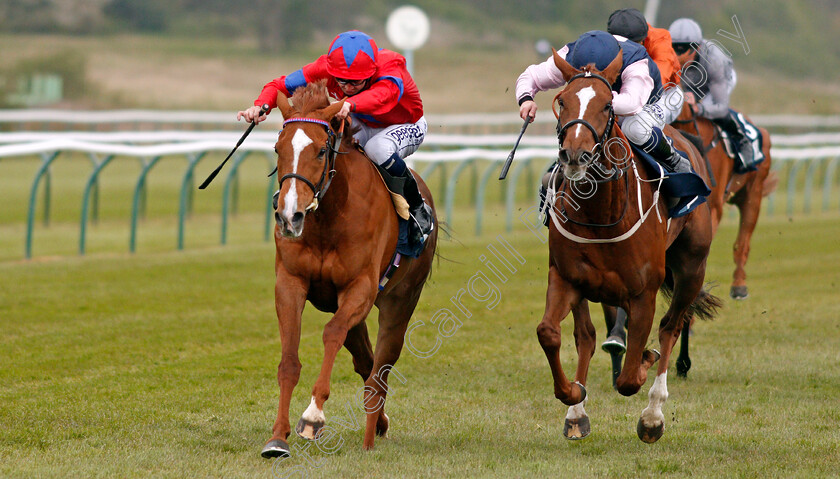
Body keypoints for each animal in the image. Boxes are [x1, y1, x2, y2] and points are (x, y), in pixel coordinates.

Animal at [260, 82, 436, 458]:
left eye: (320, 151)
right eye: (278, 148)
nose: (289, 215)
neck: (329, 217)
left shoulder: (361, 287)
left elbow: (330, 334)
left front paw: (313, 416)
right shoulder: (291, 282)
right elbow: (289, 361)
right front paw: (278, 437)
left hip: (400, 301)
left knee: (380, 369)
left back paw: (370, 439)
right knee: (365, 362)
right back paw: (379, 423)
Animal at [540, 50, 720, 444]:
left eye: (607, 105)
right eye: (562, 101)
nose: (574, 154)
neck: (600, 214)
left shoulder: (643, 293)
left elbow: (629, 377)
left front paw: (644, 369)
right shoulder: (566, 277)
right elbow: (553, 333)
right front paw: (573, 397)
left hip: (692, 267)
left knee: (671, 326)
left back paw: (653, 413)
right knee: (587, 336)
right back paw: (578, 412)